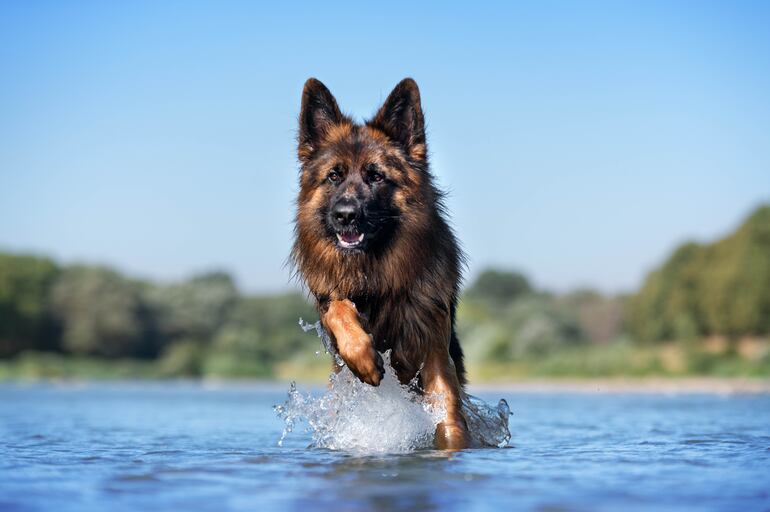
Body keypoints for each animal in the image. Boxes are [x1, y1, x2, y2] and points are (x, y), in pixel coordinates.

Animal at [290, 78, 464, 450]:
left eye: (377, 177)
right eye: (334, 176)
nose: (346, 215)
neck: (376, 276)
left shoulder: (432, 345)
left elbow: (447, 413)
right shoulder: (332, 297)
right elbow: (339, 309)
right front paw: (365, 358)